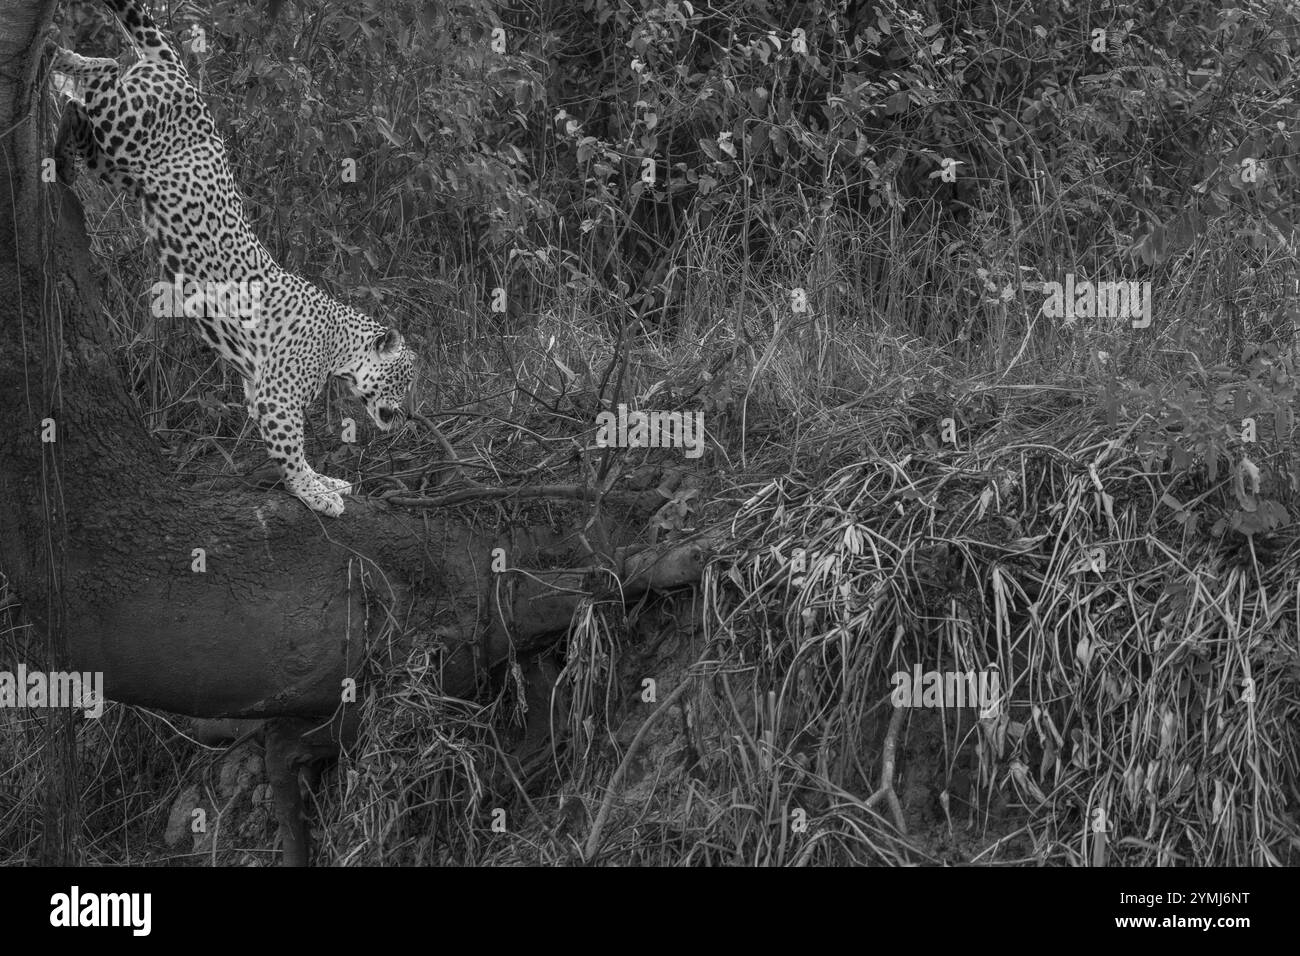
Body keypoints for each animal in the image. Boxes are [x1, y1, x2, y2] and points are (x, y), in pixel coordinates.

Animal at [49, 0, 416, 517]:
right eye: (402, 379)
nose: (404, 417)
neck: (339, 346)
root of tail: (183, 75)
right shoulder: (277, 397)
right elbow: (293, 453)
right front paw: (314, 493)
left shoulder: (254, 390)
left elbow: (295, 452)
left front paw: (327, 481)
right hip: (127, 129)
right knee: (103, 77)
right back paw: (58, 63)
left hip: (118, 163)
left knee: (89, 103)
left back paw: (63, 105)